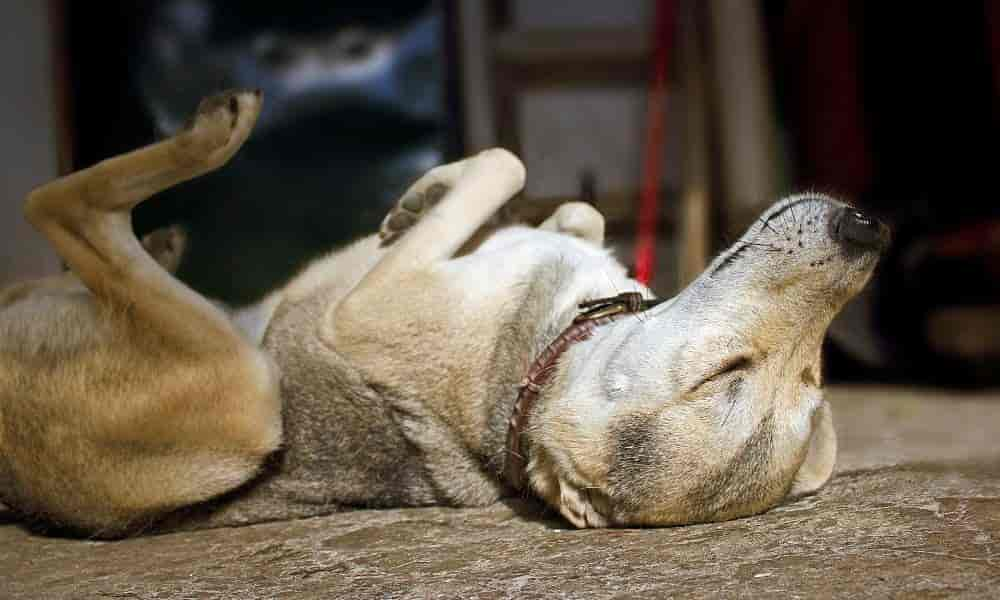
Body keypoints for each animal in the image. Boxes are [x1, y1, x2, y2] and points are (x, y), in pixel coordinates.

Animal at [0, 91, 892, 536]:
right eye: (734, 375)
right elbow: (548, 195)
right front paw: (420, 199)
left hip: (242, 399)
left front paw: (423, 203)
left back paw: (213, 133)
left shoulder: (372, 304)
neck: (543, 357)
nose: (868, 228)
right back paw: (172, 229)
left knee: (60, 205)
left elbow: (500, 162)